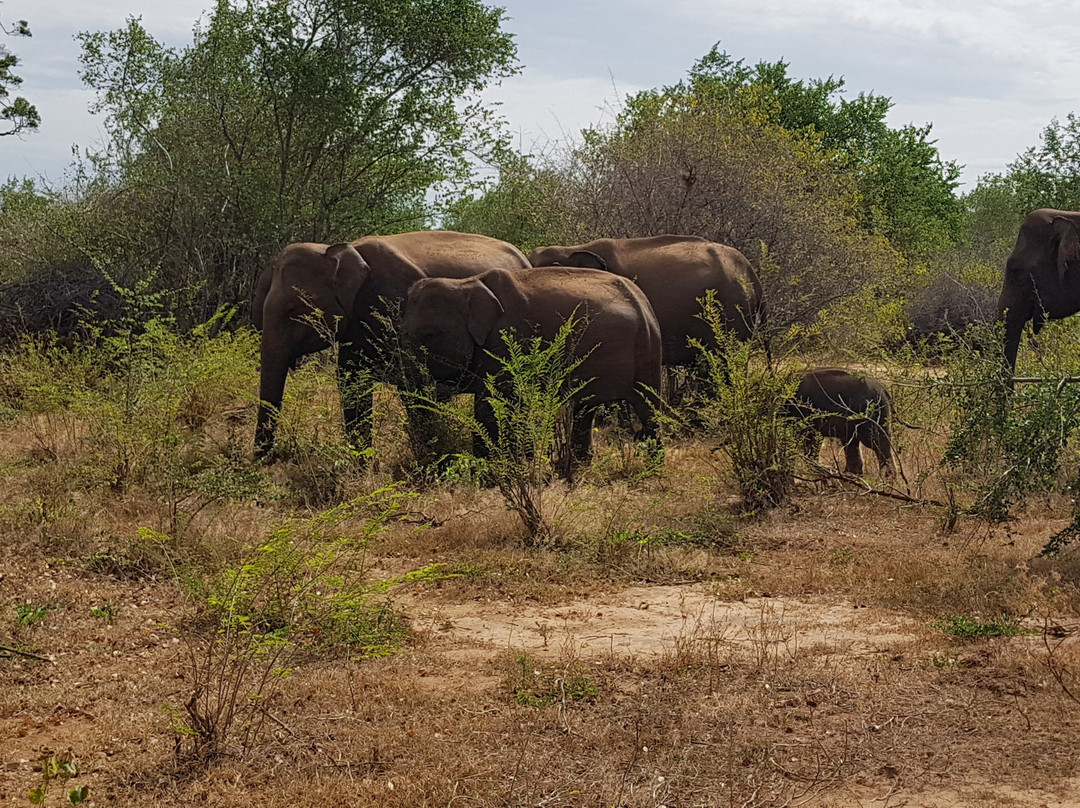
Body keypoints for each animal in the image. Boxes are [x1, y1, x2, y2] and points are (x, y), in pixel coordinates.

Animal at [249, 230, 527, 458]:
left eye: (293, 310)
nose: (268, 459)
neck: (337, 249)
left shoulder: (395, 304)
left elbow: (410, 385)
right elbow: (351, 381)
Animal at [401, 266, 660, 466]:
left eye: (428, 335)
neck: (465, 283)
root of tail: (643, 302)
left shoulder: (505, 338)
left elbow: (489, 405)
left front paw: (489, 470)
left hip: (646, 353)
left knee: (648, 408)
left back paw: (653, 468)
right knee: (586, 407)